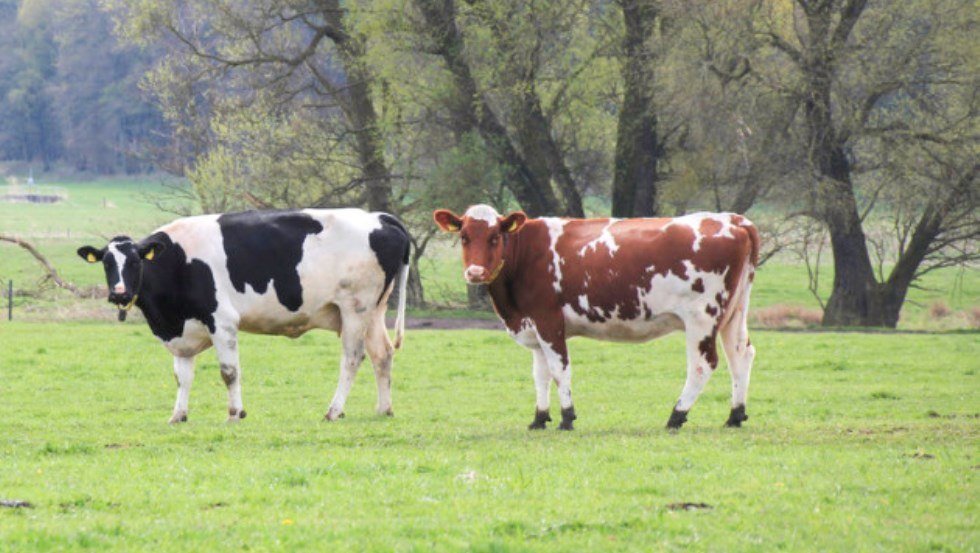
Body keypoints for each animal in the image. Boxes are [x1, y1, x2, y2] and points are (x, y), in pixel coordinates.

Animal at [78, 208, 410, 424]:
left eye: (135, 262)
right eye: (107, 263)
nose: (119, 293)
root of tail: (378, 217)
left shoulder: (222, 321)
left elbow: (229, 372)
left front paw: (236, 413)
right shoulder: (183, 331)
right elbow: (182, 377)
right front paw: (178, 414)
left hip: (356, 307)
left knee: (353, 358)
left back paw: (334, 410)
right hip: (374, 310)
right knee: (382, 354)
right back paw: (384, 409)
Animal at [433, 204, 759, 431]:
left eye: (494, 237)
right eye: (464, 237)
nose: (475, 272)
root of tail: (734, 219)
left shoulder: (548, 321)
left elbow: (560, 369)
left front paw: (567, 417)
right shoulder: (533, 327)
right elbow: (540, 374)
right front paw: (539, 418)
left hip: (701, 317)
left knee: (703, 364)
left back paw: (676, 415)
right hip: (734, 313)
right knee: (740, 355)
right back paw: (735, 414)